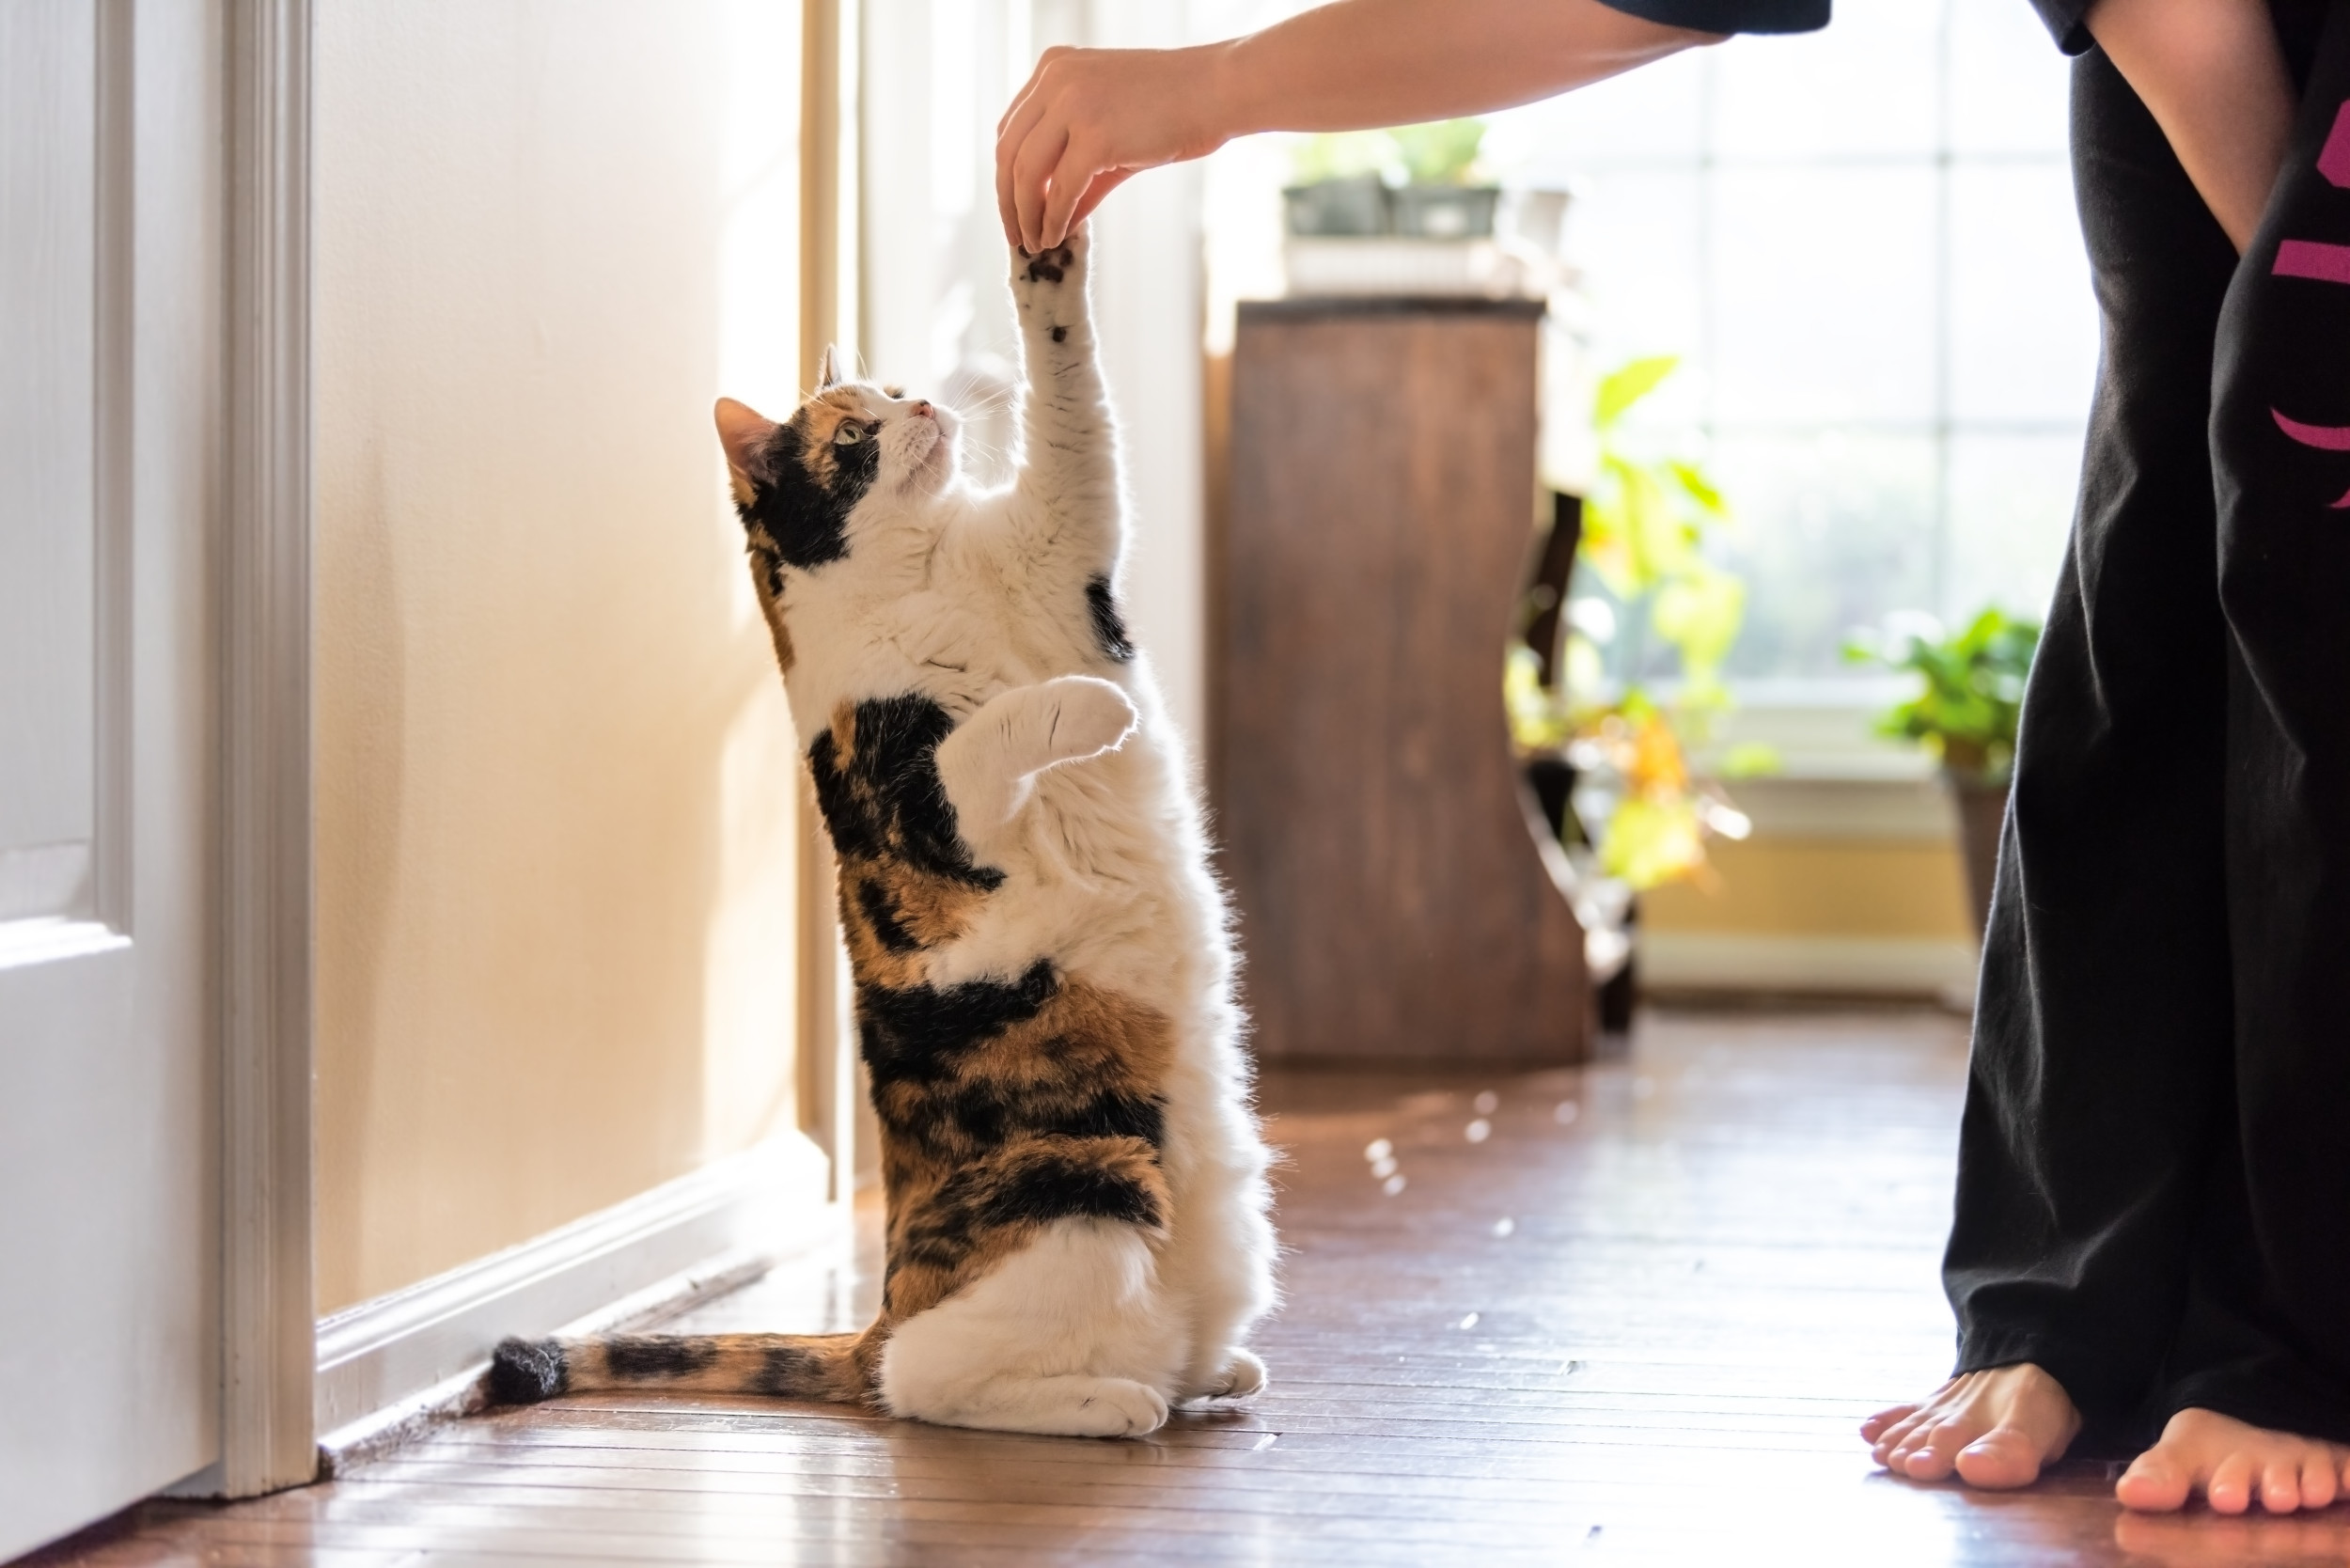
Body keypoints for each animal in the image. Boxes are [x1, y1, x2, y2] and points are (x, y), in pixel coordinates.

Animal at [484, 227, 1278, 1438]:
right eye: (853, 434)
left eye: (897, 388)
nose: (926, 408)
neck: (931, 571)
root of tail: (884, 1303)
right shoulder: (918, 820)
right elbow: (988, 735)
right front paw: (1091, 710)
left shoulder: (1062, 534)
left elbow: (1070, 401)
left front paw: (1046, 259)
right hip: (1084, 1182)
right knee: (928, 1382)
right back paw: (1112, 1403)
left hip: (1211, 1223)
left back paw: (1213, 1377)